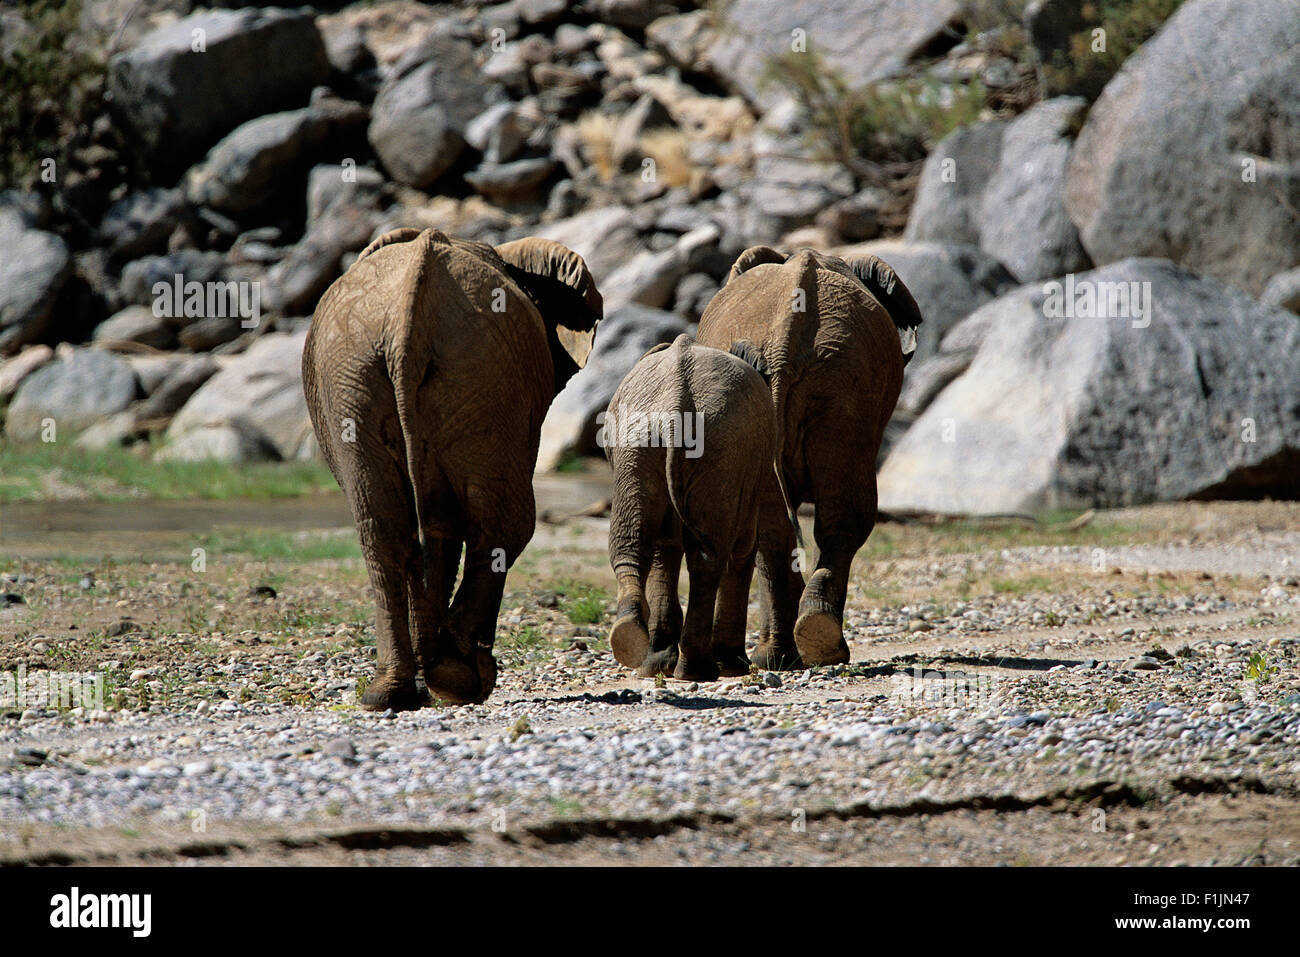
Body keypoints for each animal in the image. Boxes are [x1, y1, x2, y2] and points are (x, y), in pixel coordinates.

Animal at [302, 228, 601, 709]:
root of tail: (406, 319)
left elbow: (436, 528)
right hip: (476, 377)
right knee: (505, 523)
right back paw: (457, 679)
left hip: (362, 382)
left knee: (383, 526)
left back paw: (392, 693)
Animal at [604, 334, 776, 681]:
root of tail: (676, 397)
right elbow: (743, 547)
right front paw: (732, 666)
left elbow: (664, 549)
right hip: (720, 452)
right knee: (709, 558)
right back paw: (700, 671)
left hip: (642, 444)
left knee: (632, 544)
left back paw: (636, 646)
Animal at [695, 246, 922, 670]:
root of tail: (784, 342)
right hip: (841, 383)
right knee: (838, 517)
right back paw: (812, 648)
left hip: (835, 382)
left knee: (779, 528)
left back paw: (796, 648)